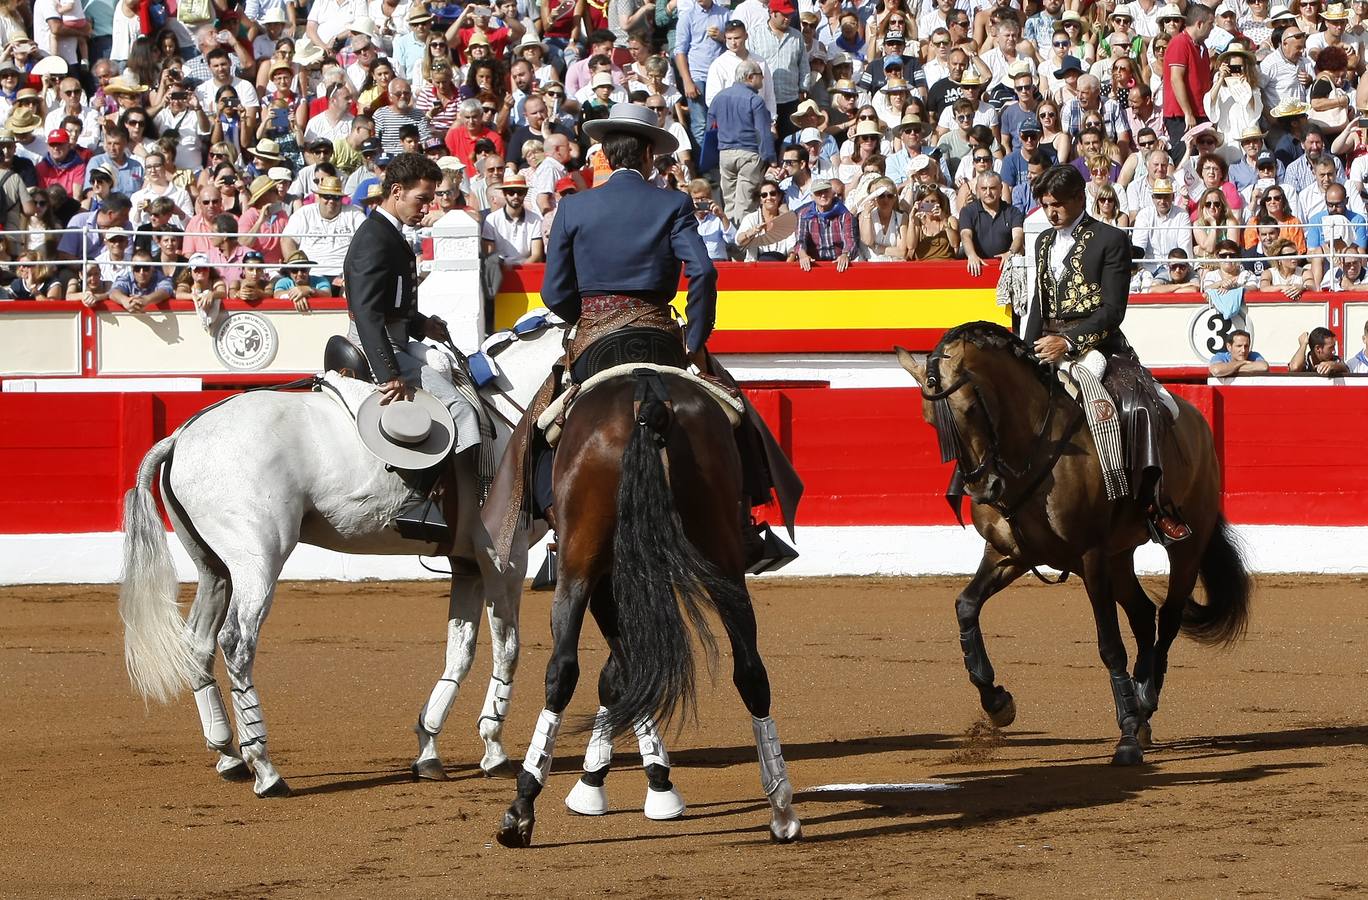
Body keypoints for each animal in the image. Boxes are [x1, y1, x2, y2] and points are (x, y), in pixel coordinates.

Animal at [119, 320, 560, 793]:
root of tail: (180, 436)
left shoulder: (469, 566)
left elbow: (460, 653)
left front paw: (428, 748)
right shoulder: (506, 561)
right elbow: (508, 648)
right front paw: (494, 749)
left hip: (214, 568)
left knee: (198, 642)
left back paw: (228, 756)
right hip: (258, 560)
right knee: (237, 641)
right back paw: (265, 769)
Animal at [497, 369, 798, 842]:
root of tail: (648, 397)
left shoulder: (604, 577)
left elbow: (621, 672)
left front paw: (618, 780)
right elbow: (629, 672)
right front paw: (634, 779)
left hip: (579, 563)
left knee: (561, 669)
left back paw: (521, 808)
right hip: (722, 555)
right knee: (750, 669)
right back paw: (782, 809)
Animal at [897, 322, 1253, 765]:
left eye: (971, 409)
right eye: (930, 421)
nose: (983, 489)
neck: (1031, 446)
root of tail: (1197, 421)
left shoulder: (1090, 556)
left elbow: (1109, 645)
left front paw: (1126, 738)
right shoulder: (1010, 554)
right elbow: (966, 606)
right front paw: (997, 703)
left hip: (1186, 545)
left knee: (1168, 617)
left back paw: (1145, 705)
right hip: (1120, 556)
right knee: (1142, 615)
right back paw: (1140, 705)